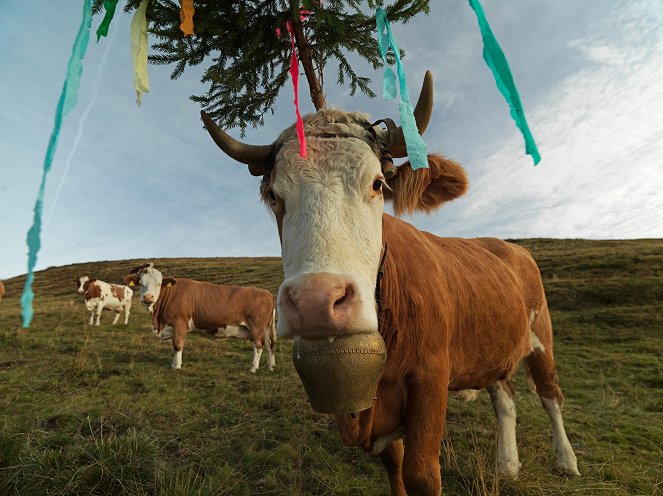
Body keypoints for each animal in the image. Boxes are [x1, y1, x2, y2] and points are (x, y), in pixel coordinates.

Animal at [124, 264, 278, 372]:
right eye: (141, 283)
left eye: (159, 284)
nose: (148, 297)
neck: (158, 321)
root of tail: (267, 292)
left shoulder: (179, 323)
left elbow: (178, 344)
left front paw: (176, 366)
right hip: (263, 328)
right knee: (269, 344)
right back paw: (270, 366)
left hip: (256, 326)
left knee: (259, 345)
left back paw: (253, 368)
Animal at [200, 71, 580, 494]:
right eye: (273, 194)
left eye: (378, 184)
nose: (316, 302)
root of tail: (506, 245)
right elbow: (395, 466)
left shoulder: (430, 381)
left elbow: (421, 475)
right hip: (493, 345)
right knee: (505, 398)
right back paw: (507, 464)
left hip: (541, 337)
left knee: (550, 396)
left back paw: (566, 461)